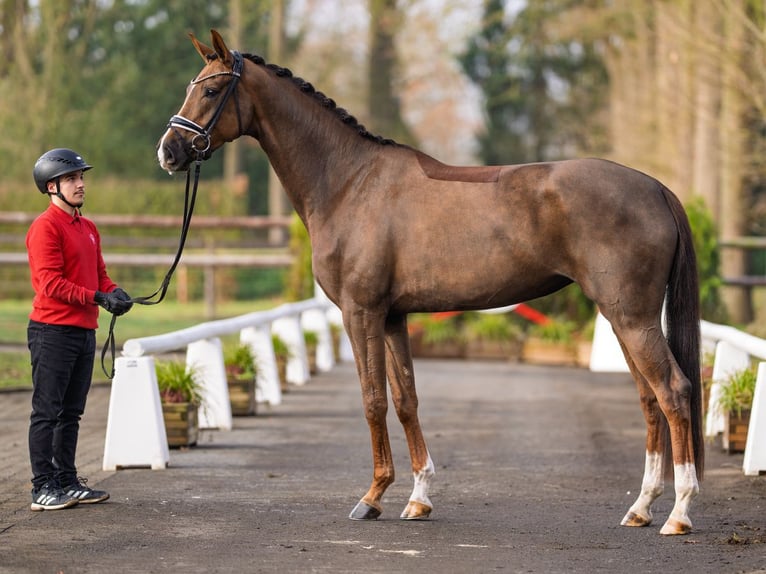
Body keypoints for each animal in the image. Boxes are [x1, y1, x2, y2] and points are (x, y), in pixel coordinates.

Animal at [157, 29, 704, 536]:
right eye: (188, 87)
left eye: (211, 90)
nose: (168, 152)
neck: (348, 182)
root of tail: (654, 187)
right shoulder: (393, 317)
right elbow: (405, 401)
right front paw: (418, 498)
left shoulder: (361, 312)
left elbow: (372, 400)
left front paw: (373, 497)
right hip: (621, 317)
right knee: (649, 399)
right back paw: (641, 508)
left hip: (631, 317)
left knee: (674, 392)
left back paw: (678, 512)